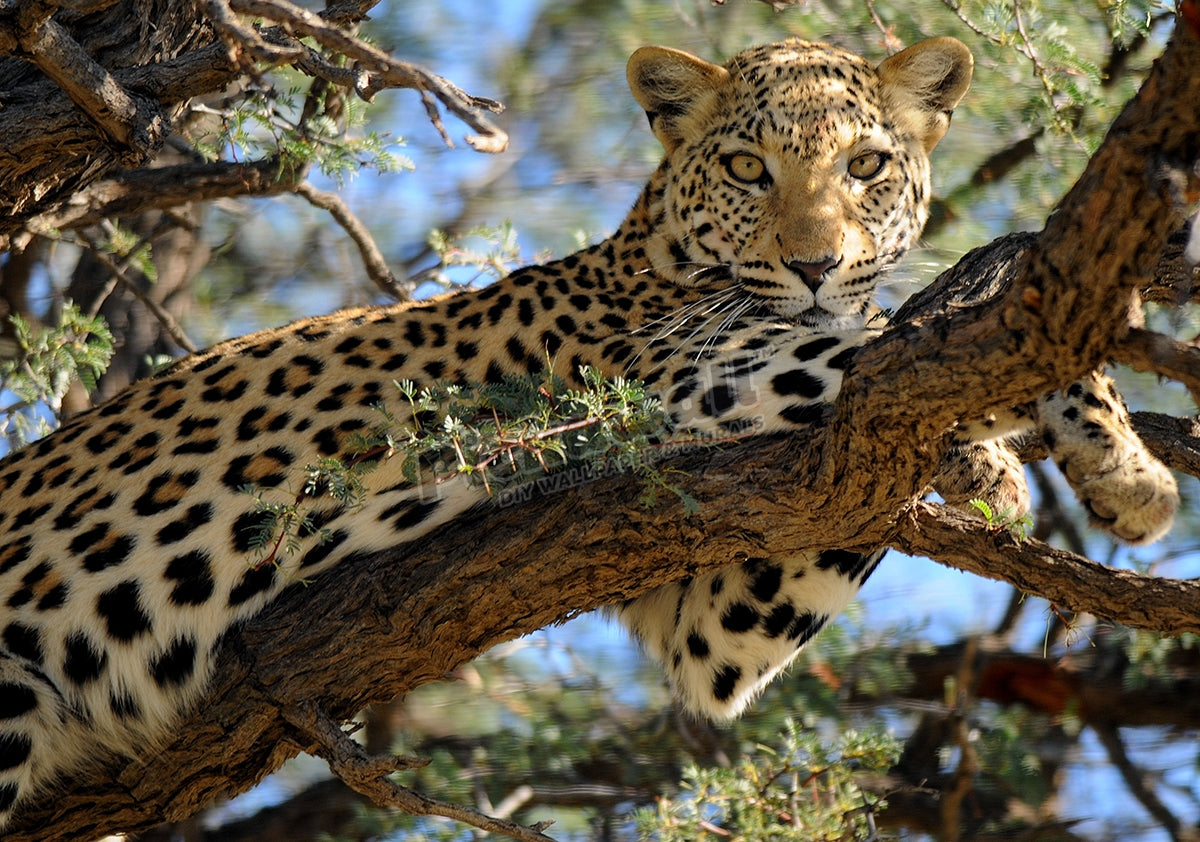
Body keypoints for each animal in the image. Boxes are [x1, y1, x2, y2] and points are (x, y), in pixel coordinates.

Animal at [0, 36, 1178, 830]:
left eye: (867, 166)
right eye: (749, 170)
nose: (813, 262)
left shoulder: (715, 621)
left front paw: (1075, 468)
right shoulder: (679, 381)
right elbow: (881, 346)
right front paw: (1086, 460)